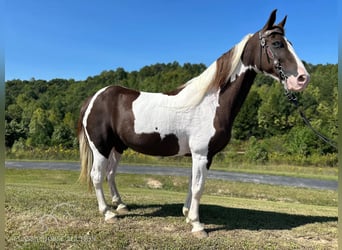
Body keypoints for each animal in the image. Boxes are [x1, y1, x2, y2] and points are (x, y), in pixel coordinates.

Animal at [78, 9, 310, 239]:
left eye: (289, 42)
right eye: (277, 43)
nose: (302, 78)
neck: (211, 103)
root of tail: (94, 98)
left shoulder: (201, 156)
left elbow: (192, 184)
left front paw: (188, 215)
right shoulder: (201, 154)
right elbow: (199, 187)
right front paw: (198, 226)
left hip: (117, 147)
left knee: (110, 174)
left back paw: (120, 205)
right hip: (100, 147)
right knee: (97, 176)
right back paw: (108, 213)